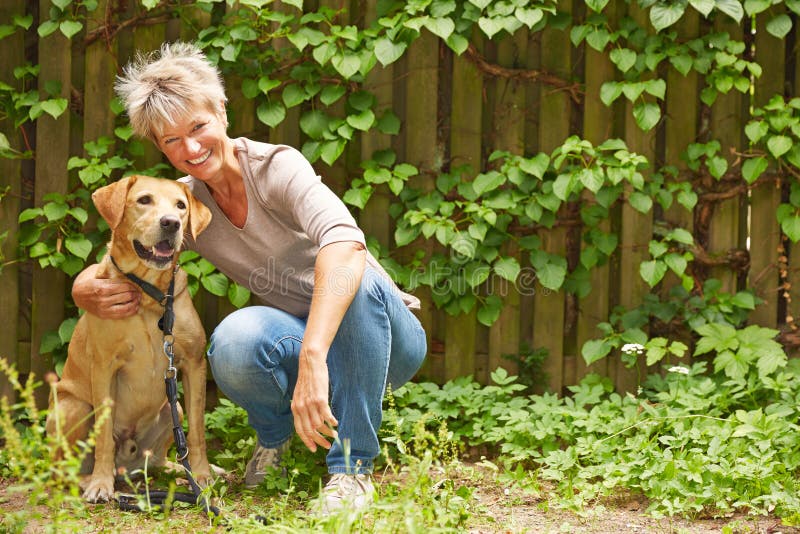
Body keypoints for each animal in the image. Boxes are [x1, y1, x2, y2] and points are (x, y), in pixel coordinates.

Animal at [47, 177, 212, 506]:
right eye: (144, 200)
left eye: (181, 205)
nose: (171, 223)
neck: (149, 294)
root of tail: (128, 464)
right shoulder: (104, 368)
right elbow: (103, 435)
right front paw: (101, 483)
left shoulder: (193, 364)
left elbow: (197, 432)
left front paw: (201, 476)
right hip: (73, 407)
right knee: (64, 469)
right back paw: (90, 479)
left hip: (173, 406)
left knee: (160, 459)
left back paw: (178, 470)